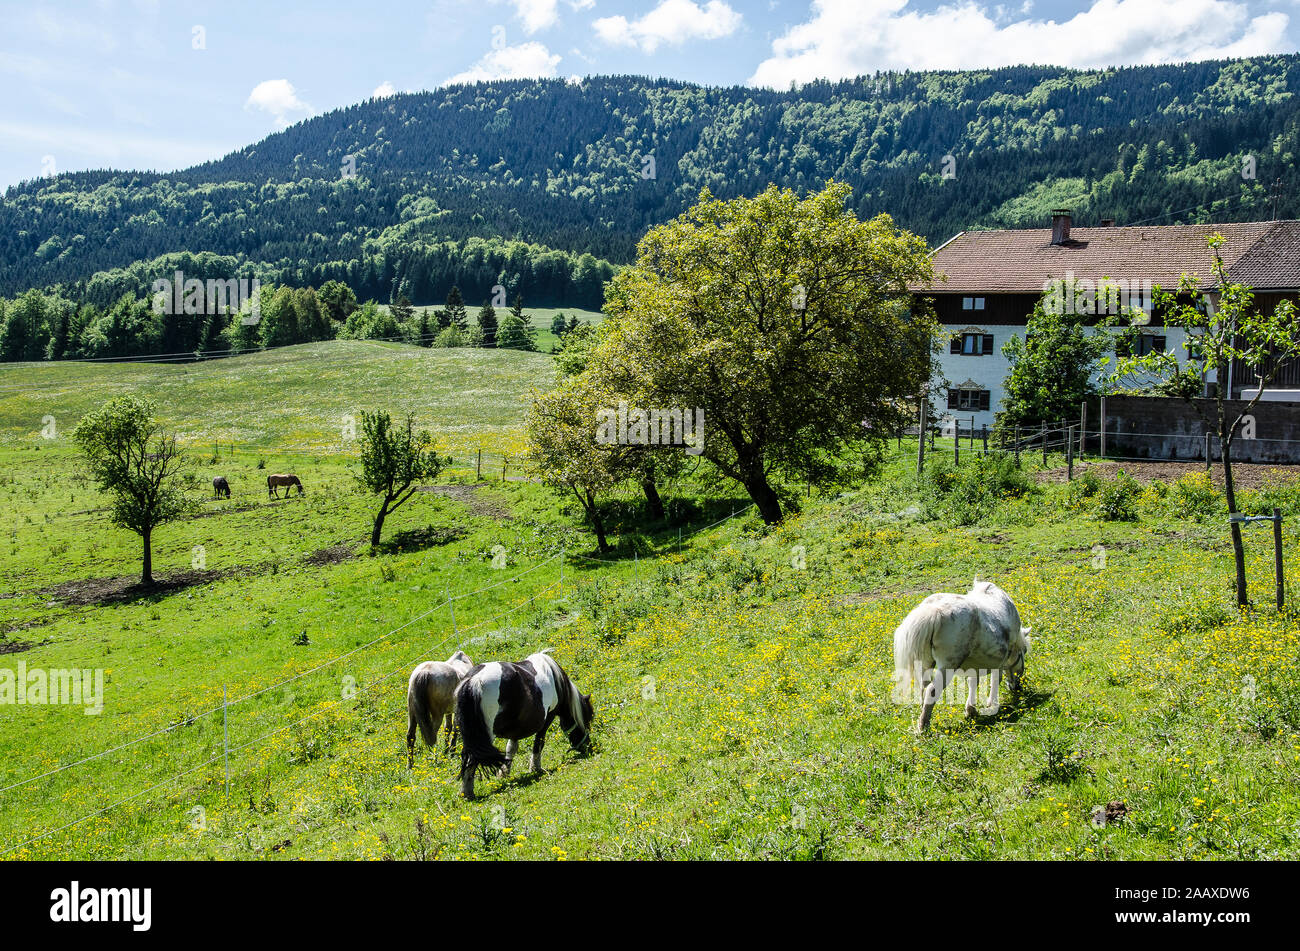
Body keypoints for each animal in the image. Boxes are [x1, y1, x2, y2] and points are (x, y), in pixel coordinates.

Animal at [452, 649, 595, 800]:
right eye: (586, 722)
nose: (588, 747)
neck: (557, 682)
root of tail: (474, 680)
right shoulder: (548, 718)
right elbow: (539, 743)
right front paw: (535, 768)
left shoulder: (516, 726)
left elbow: (511, 748)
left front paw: (504, 772)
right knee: (472, 758)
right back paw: (468, 793)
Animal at [889, 576, 1029, 732]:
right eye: (1024, 652)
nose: (1017, 687)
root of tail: (935, 611)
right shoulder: (1000, 663)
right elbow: (994, 681)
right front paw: (991, 705)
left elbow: (973, 682)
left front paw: (971, 710)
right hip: (948, 665)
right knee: (932, 690)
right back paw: (923, 727)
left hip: (926, 663)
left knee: (924, 688)